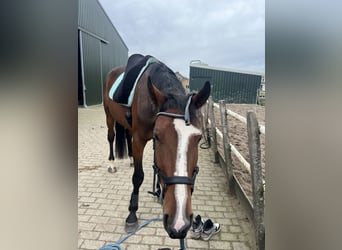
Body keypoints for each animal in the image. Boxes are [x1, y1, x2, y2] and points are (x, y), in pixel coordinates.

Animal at [104, 59, 211, 239]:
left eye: (198, 138)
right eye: (158, 136)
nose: (179, 222)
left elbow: (156, 165)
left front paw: (159, 191)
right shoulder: (139, 140)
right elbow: (138, 176)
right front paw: (132, 214)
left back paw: (131, 160)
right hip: (109, 116)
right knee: (111, 137)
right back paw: (111, 164)